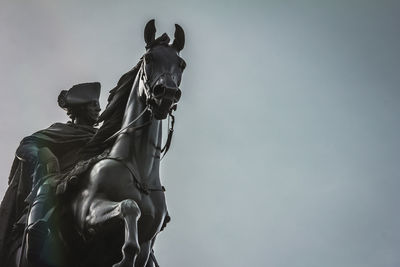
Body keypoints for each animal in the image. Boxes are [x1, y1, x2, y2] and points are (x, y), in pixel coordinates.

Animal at [13, 19, 186, 267]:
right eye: (149, 58)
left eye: (181, 64)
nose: (166, 94)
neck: (139, 174)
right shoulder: (90, 214)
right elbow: (129, 207)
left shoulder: (146, 243)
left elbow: (136, 244)